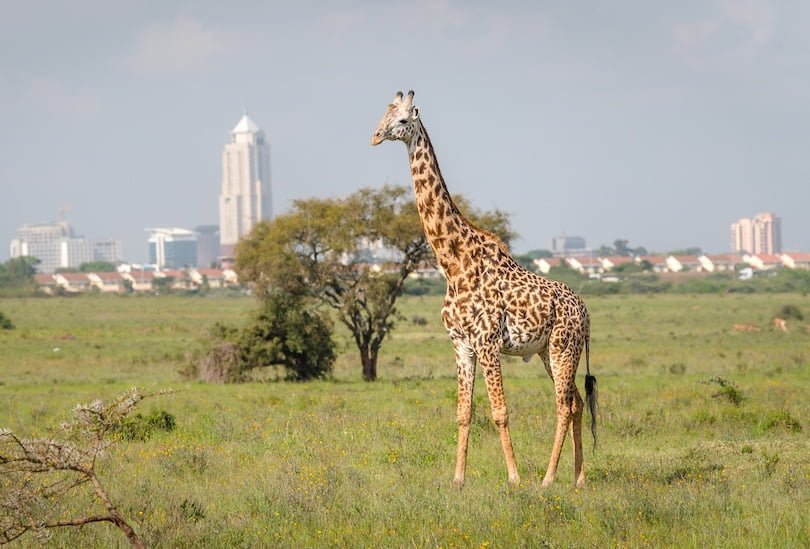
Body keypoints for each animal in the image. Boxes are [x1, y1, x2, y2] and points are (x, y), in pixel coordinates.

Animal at [370, 91, 592, 488]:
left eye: (401, 120)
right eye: (383, 115)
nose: (375, 136)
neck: (453, 262)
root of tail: (585, 311)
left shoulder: (488, 343)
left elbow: (500, 411)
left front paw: (514, 478)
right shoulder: (461, 345)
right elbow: (463, 411)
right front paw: (458, 479)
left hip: (563, 347)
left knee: (563, 405)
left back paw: (548, 478)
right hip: (547, 351)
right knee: (577, 402)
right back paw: (578, 479)